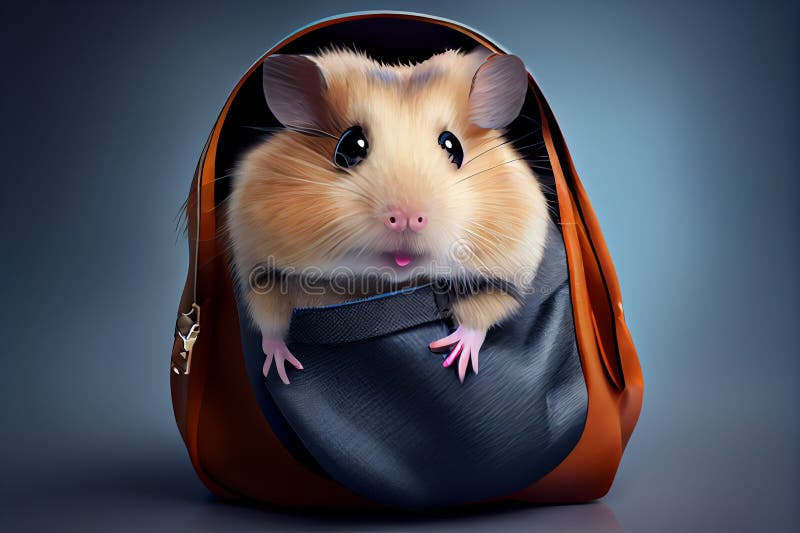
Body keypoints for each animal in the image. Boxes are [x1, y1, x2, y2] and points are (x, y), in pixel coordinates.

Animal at [226, 47, 549, 384]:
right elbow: (270, 321)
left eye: (453, 146)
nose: (406, 218)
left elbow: (482, 314)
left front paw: (453, 358)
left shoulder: (509, 274)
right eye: (350, 146)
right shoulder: (259, 274)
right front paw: (282, 368)